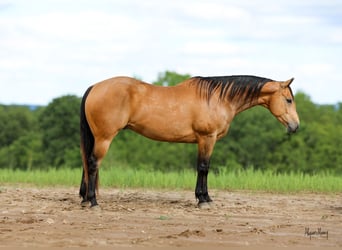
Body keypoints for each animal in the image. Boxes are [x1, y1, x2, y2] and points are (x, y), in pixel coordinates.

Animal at [79, 75, 298, 208]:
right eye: (288, 100)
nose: (295, 126)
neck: (217, 98)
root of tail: (94, 87)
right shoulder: (206, 138)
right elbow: (203, 167)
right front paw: (203, 200)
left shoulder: (205, 140)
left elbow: (203, 167)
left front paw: (205, 197)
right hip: (104, 138)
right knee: (93, 164)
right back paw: (93, 202)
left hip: (97, 138)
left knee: (87, 164)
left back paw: (84, 199)